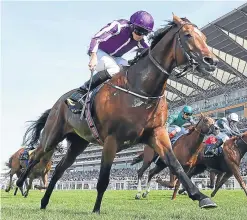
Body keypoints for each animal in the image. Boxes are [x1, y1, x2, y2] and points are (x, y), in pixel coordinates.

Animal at [16, 14, 218, 213]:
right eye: (187, 35)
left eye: (205, 38)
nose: (212, 61)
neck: (140, 90)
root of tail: (58, 103)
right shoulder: (111, 140)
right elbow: (103, 179)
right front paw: (96, 210)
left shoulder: (157, 133)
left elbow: (175, 164)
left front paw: (201, 197)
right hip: (52, 136)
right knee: (36, 155)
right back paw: (20, 183)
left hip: (78, 143)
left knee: (59, 169)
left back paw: (44, 201)